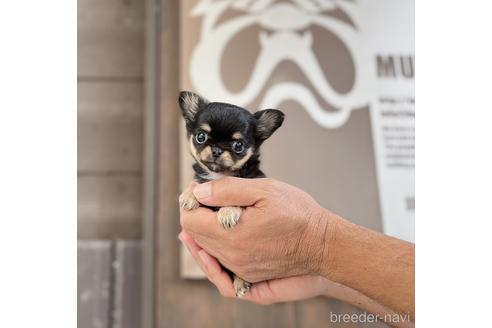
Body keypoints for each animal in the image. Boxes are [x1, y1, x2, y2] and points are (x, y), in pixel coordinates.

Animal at [178, 90, 284, 298]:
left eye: (238, 146)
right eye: (201, 136)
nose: (217, 149)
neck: (220, 175)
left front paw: (227, 212)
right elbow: (199, 184)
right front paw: (189, 195)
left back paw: (241, 282)